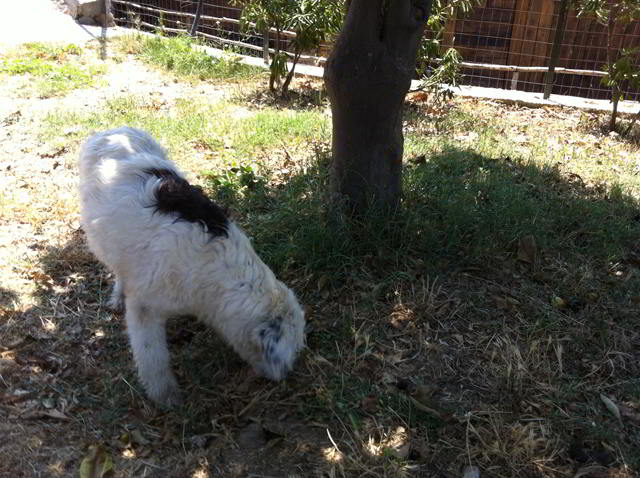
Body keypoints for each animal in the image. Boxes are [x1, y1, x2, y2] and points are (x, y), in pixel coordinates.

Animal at [77, 127, 308, 408]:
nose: (286, 376)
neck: (218, 270)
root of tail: (113, 131)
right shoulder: (145, 308)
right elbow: (152, 356)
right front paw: (166, 396)